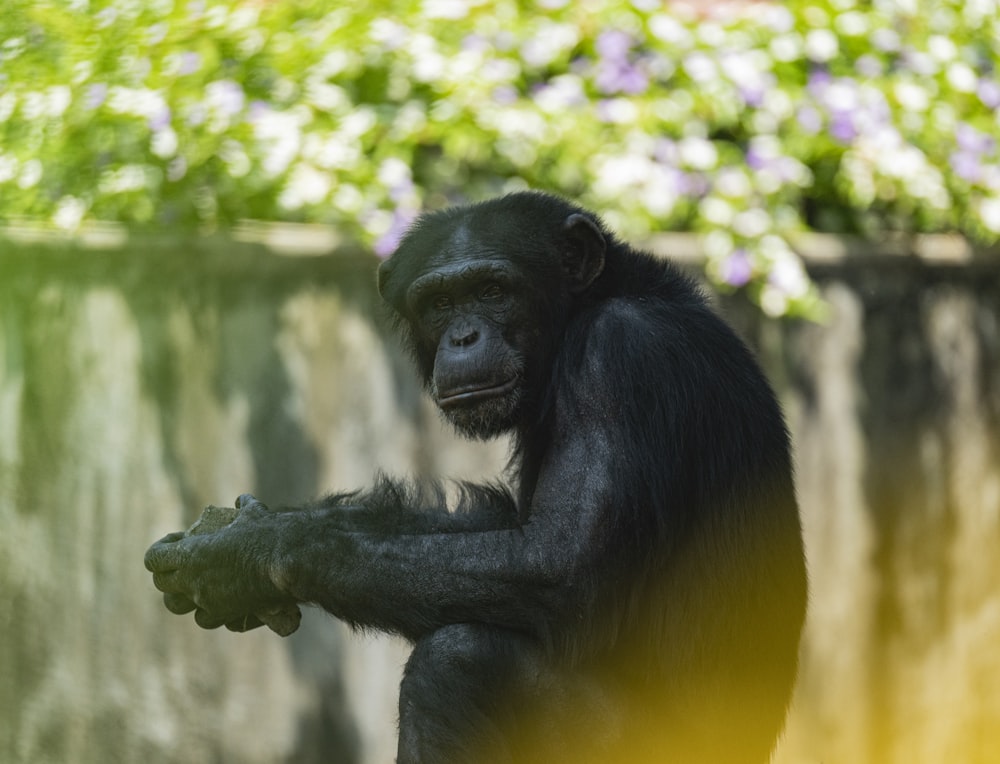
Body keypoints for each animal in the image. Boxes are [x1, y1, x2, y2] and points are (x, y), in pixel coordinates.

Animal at [146, 191, 804, 764]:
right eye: (440, 303)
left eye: (492, 290)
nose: (464, 336)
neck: (587, 309)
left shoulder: (620, 359)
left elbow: (556, 560)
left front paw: (246, 553)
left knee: (460, 660)